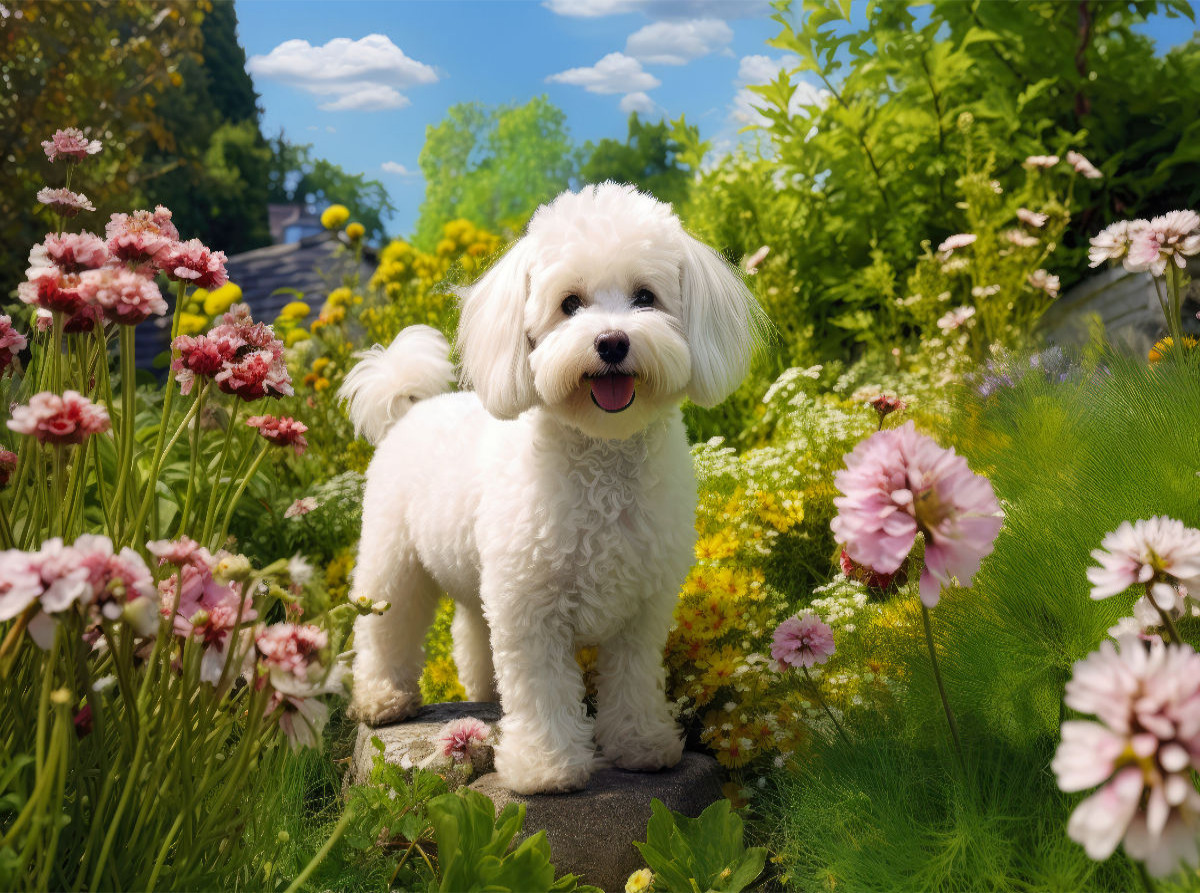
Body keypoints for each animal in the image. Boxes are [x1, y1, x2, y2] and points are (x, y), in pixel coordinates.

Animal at [343, 184, 763, 792]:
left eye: (645, 297)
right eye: (570, 304)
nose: (611, 342)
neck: (602, 461)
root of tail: (410, 408)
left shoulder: (642, 609)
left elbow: (634, 678)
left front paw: (642, 745)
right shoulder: (530, 608)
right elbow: (541, 688)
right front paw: (546, 766)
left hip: (477, 576)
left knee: (471, 633)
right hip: (391, 558)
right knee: (385, 628)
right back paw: (383, 699)